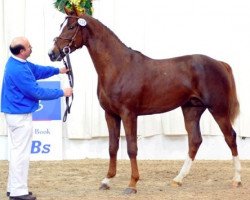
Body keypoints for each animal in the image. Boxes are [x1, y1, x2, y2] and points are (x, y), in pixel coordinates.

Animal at [47, 9, 241, 194]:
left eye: (71, 27)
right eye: (61, 25)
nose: (52, 53)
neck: (118, 67)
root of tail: (219, 63)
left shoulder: (129, 114)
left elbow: (131, 148)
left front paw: (132, 184)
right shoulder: (110, 114)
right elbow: (112, 147)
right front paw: (107, 180)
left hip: (218, 109)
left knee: (230, 137)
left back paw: (237, 179)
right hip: (191, 109)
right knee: (195, 140)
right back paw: (178, 179)